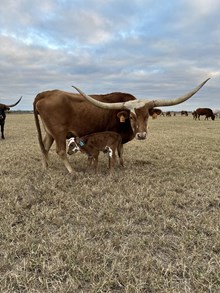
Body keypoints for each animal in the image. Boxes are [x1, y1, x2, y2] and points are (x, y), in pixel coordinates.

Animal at [33, 78, 210, 173]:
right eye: (131, 116)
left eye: (147, 115)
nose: (141, 135)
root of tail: (46, 93)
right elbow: (116, 152)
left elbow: (121, 152)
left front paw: (122, 165)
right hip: (59, 132)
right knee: (60, 151)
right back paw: (72, 172)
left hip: (49, 132)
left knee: (44, 147)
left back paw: (45, 167)